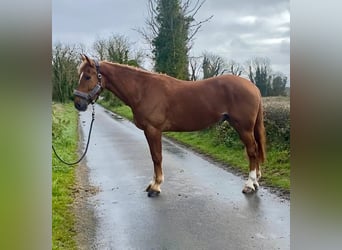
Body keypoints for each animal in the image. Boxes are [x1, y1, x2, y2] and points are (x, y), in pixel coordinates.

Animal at [74, 55, 268, 197]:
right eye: (80, 75)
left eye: (88, 76)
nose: (78, 104)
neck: (143, 89)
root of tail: (253, 87)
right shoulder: (151, 131)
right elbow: (154, 157)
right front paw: (153, 183)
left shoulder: (153, 130)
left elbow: (157, 157)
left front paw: (156, 186)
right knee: (254, 150)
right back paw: (256, 181)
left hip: (243, 127)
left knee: (252, 150)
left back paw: (250, 185)